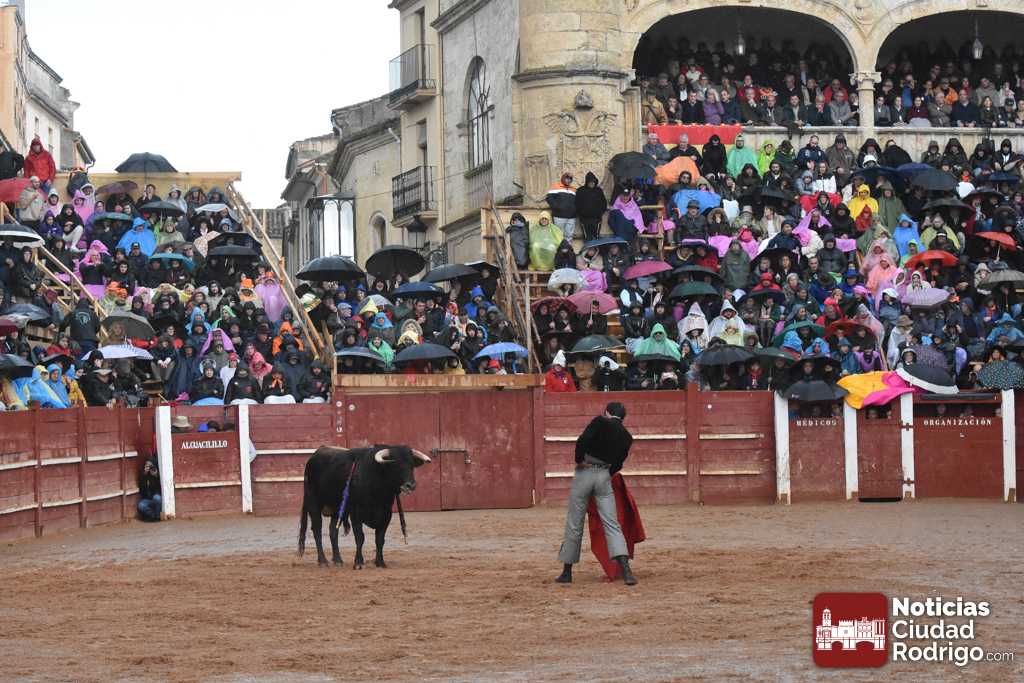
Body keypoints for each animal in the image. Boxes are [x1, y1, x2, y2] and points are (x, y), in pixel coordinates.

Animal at [298, 444, 431, 569]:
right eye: (395, 465)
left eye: (412, 465)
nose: (411, 485)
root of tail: (315, 455)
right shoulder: (356, 513)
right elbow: (360, 537)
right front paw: (358, 563)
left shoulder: (386, 514)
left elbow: (380, 539)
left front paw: (380, 562)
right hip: (313, 504)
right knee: (317, 530)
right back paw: (323, 561)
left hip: (336, 509)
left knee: (333, 531)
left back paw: (338, 560)